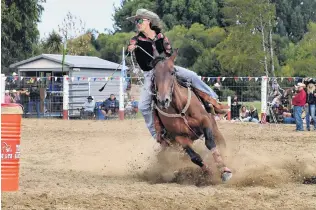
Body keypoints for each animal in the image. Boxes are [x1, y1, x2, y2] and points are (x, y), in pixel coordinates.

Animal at [149, 49, 233, 182]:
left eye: (172, 72)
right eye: (154, 75)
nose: (163, 100)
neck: (180, 108)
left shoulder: (205, 122)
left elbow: (210, 143)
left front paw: (224, 170)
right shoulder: (179, 137)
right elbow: (195, 157)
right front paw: (208, 172)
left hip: (214, 128)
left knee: (221, 143)